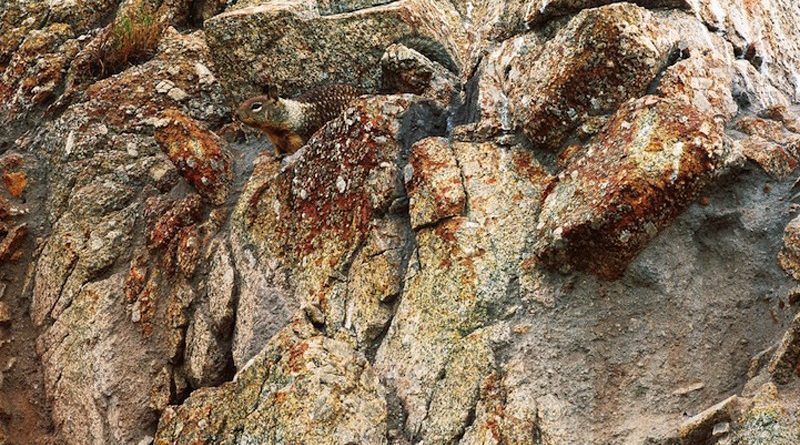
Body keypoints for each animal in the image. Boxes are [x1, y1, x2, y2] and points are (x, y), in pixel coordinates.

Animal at [235, 35, 459, 156]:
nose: (236, 115)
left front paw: (286, 157)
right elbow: (276, 151)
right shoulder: (276, 141)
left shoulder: (297, 136)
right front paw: (275, 157)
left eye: (256, 105)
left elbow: (295, 148)